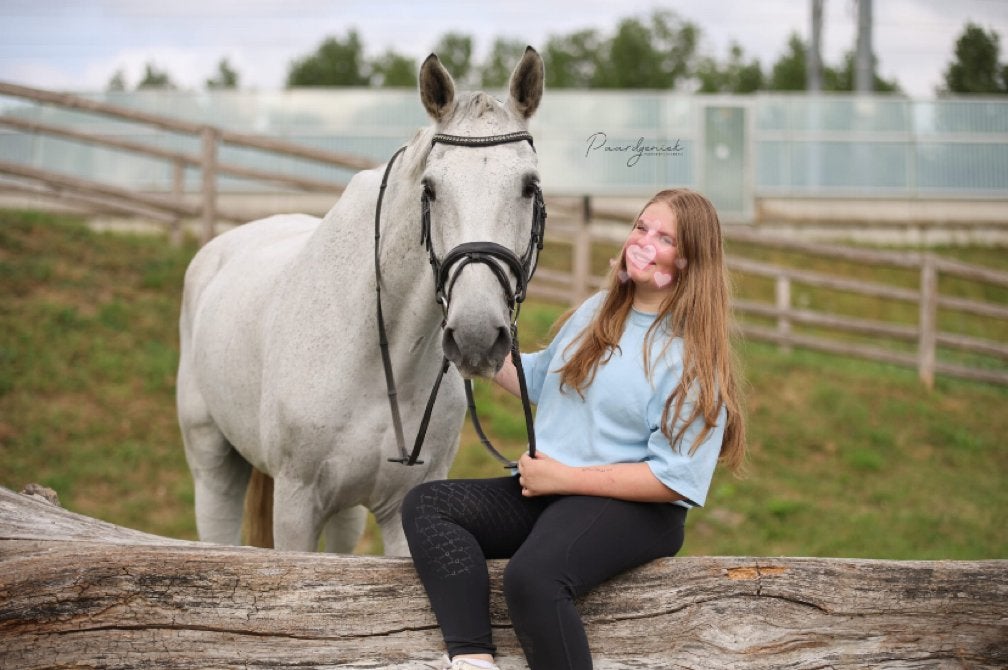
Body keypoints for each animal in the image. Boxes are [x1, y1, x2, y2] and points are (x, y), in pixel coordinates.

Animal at [176, 47, 545, 556]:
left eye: (529, 186)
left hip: (345, 508)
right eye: (430, 188)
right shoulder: (296, 506)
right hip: (213, 463)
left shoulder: (402, 511)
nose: (475, 335)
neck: (379, 353)